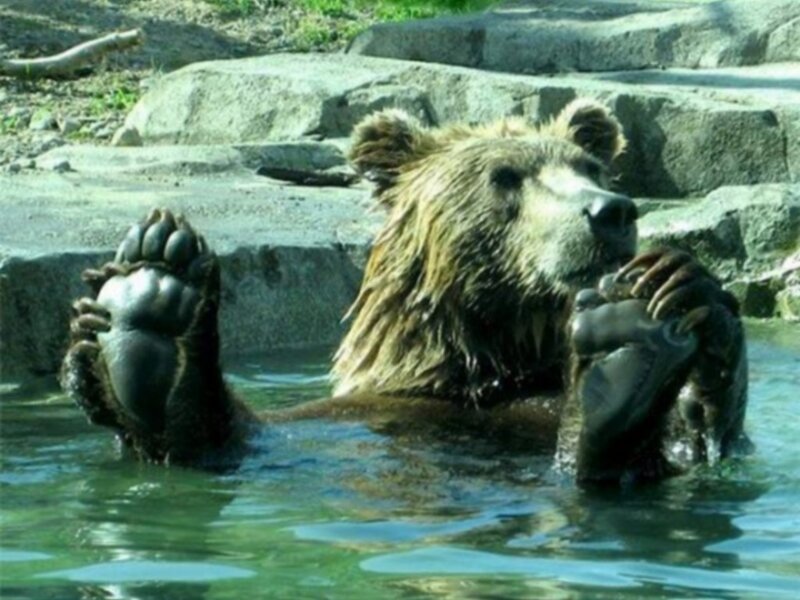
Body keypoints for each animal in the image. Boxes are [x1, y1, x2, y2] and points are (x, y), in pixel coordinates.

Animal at [60, 99, 750, 483]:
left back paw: (626, 344)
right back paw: (153, 297)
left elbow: (701, 440)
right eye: (506, 176)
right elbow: (238, 438)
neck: (483, 365)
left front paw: (674, 289)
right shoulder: (342, 419)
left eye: (590, 168)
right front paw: (152, 286)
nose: (609, 212)